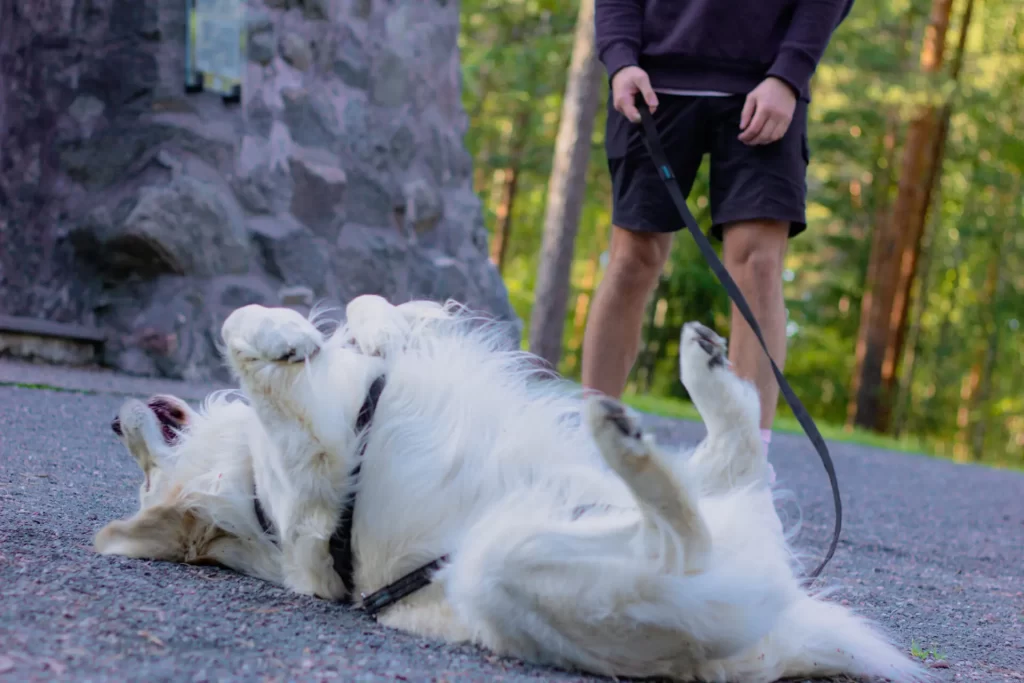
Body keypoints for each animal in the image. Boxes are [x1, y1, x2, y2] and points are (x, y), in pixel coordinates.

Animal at [94, 296, 929, 679]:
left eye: (139, 471)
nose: (111, 420)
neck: (248, 491)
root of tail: (776, 641)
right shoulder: (313, 471)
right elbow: (238, 333)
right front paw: (286, 336)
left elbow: (365, 316)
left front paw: (360, 325)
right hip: (501, 566)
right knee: (683, 530)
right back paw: (626, 440)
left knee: (734, 468)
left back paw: (699, 375)